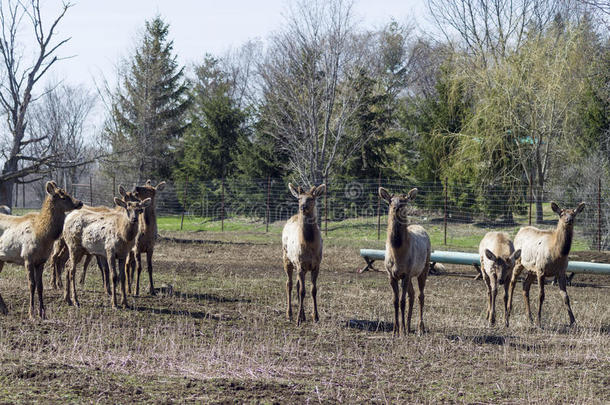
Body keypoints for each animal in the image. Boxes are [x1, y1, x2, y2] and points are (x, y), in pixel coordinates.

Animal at [0, 181, 82, 318]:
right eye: (63, 196)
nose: (80, 202)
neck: (43, 235)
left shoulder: (41, 261)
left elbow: (40, 286)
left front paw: (42, 313)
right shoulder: (28, 258)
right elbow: (31, 285)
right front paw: (31, 313)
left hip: (1, 260)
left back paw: (5, 309)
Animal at [282, 183, 326, 326]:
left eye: (311, 198)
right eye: (299, 198)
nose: (303, 207)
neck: (309, 244)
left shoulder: (316, 265)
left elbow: (313, 290)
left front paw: (315, 317)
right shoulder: (300, 264)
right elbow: (302, 291)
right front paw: (298, 320)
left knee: (296, 285)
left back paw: (303, 315)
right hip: (287, 259)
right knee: (289, 284)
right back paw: (289, 314)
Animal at [378, 186, 430, 334]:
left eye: (404, 201)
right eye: (390, 201)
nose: (396, 207)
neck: (398, 254)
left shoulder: (406, 273)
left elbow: (402, 301)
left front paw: (401, 331)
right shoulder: (391, 274)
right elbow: (395, 301)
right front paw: (396, 329)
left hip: (424, 268)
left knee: (420, 296)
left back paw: (420, 328)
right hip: (411, 275)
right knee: (411, 294)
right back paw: (408, 325)